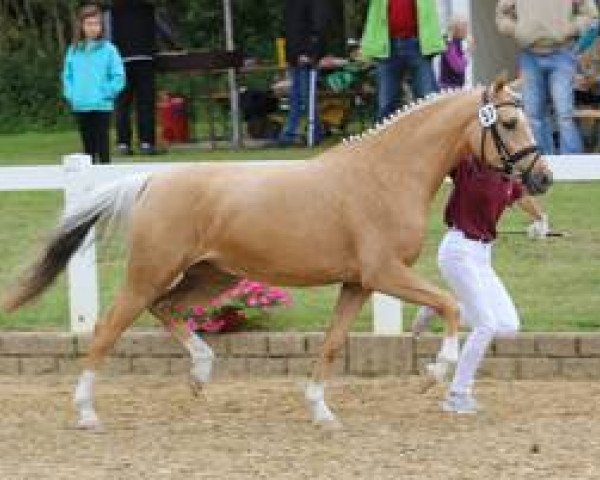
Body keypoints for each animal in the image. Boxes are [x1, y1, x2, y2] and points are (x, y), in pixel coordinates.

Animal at [2, 78, 552, 428]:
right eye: (508, 122)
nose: (543, 177)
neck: (384, 175)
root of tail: (151, 181)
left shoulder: (358, 283)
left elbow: (331, 342)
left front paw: (321, 412)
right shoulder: (384, 273)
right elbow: (450, 304)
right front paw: (433, 374)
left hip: (212, 276)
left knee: (167, 309)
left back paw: (200, 374)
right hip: (150, 272)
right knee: (108, 327)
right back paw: (86, 411)